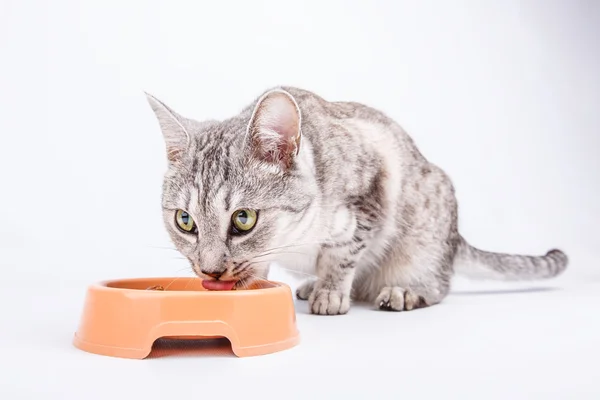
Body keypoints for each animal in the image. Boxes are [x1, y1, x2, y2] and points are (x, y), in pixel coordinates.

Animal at [144, 87, 568, 316]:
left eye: (243, 219)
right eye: (185, 221)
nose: (210, 271)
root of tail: (454, 238)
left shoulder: (370, 198)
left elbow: (341, 254)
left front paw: (331, 292)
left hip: (426, 226)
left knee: (438, 284)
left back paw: (401, 291)